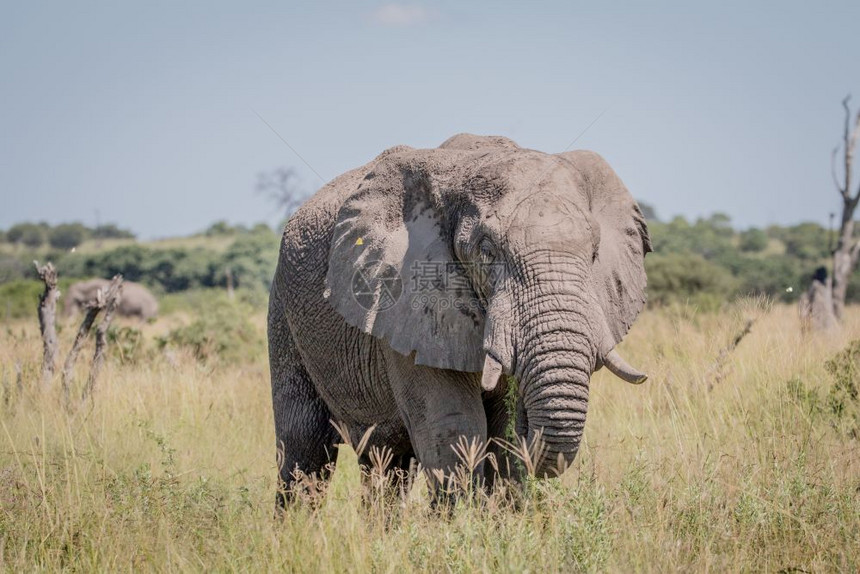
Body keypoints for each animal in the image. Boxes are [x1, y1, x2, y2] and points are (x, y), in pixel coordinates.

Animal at [270, 134, 652, 504]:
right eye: (487, 251)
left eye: (594, 253)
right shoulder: (409, 307)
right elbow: (455, 427)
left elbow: (503, 433)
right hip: (283, 310)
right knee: (304, 448)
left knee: (386, 463)